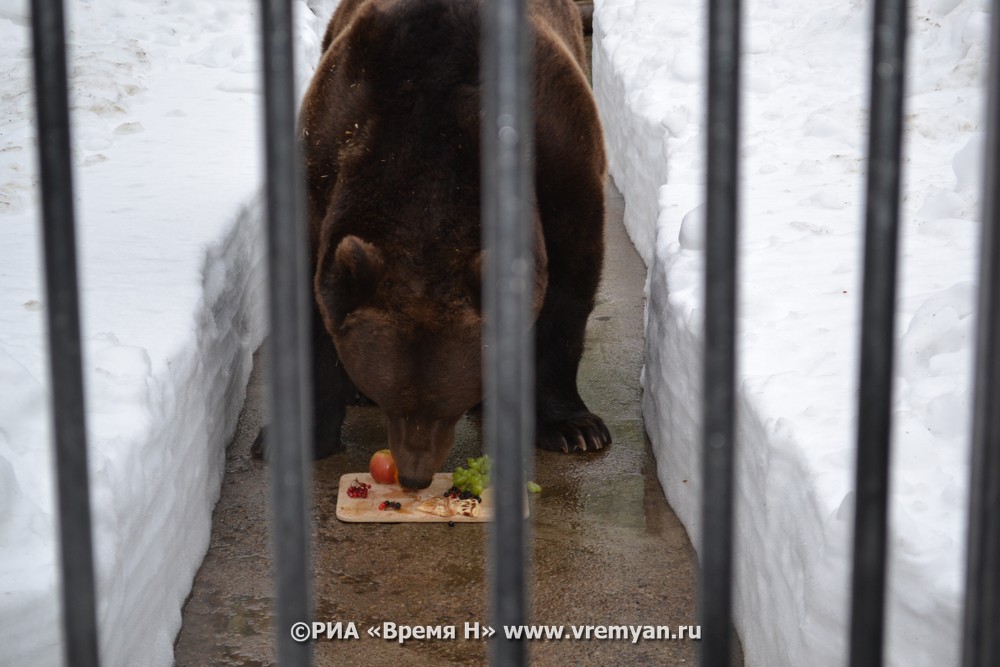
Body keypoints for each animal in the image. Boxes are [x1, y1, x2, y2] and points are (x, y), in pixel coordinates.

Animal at [290, 0, 604, 490]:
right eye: (393, 398)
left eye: (446, 403)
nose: (414, 475)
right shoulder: (327, 153)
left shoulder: (559, 149)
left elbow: (568, 290)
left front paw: (574, 428)